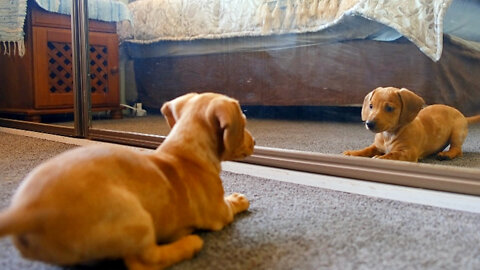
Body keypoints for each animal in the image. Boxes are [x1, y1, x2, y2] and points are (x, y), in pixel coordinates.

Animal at [0, 92, 255, 268]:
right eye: (244, 123)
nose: (254, 142)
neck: (185, 151)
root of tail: (30, 210)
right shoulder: (219, 213)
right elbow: (230, 205)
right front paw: (238, 198)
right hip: (137, 219)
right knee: (143, 262)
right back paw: (188, 244)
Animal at [344, 87, 480, 161]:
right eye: (371, 106)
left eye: (389, 108)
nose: (369, 123)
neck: (388, 135)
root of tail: (463, 116)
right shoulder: (377, 146)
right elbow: (367, 149)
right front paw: (353, 153)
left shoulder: (408, 153)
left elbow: (393, 154)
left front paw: (381, 158)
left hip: (456, 133)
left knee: (457, 149)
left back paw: (446, 155)